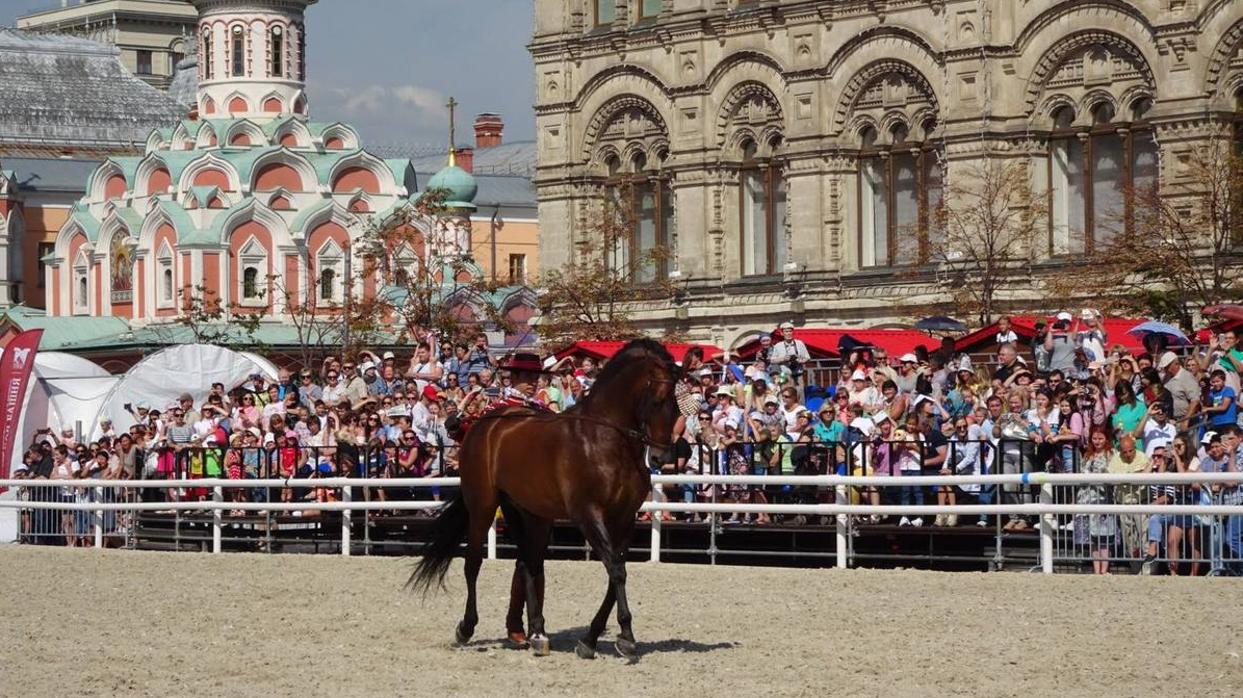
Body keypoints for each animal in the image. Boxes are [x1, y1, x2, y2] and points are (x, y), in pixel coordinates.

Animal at [407, 337, 681, 655]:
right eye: (657, 400)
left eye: (675, 401)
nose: (662, 456)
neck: (604, 439)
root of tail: (481, 424)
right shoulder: (588, 513)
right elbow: (616, 569)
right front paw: (624, 635)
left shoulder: (624, 518)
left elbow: (617, 572)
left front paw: (590, 638)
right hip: (483, 506)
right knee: (474, 563)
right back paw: (467, 627)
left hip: (528, 513)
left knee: (528, 563)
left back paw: (534, 632)